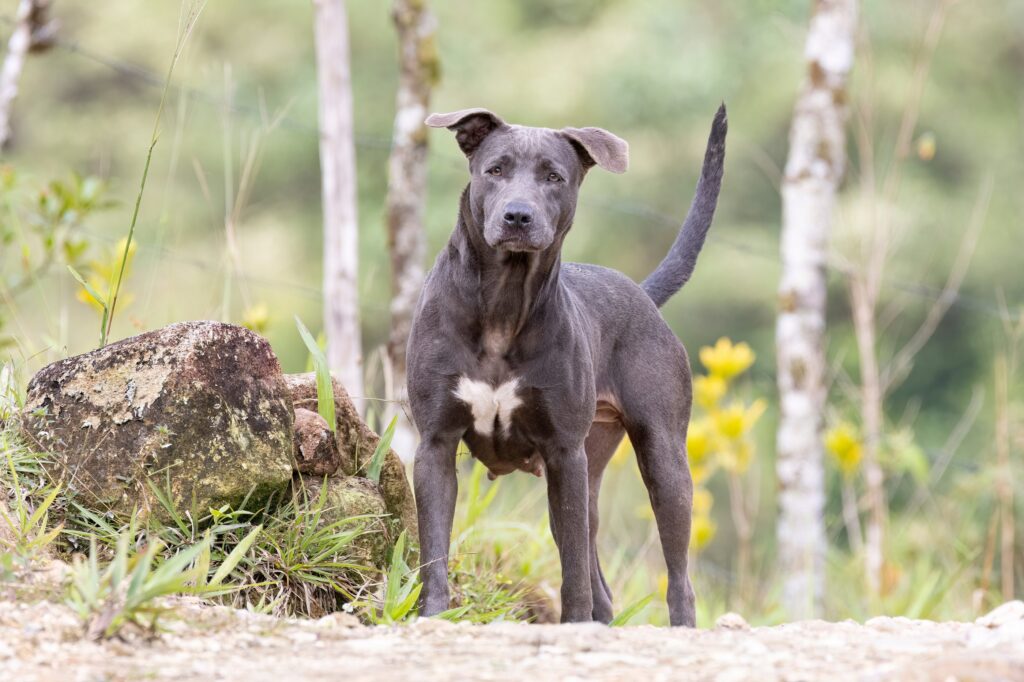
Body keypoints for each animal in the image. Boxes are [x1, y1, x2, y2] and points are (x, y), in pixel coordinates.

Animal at [407, 104, 729, 622]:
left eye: (554, 177)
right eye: (494, 170)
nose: (518, 215)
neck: (502, 304)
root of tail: (643, 295)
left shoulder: (563, 452)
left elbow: (573, 567)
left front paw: (573, 623)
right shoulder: (436, 442)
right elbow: (433, 546)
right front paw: (432, 617)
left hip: (659, 461)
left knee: (675, 576)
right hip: (591, 469)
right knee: (600, 574)